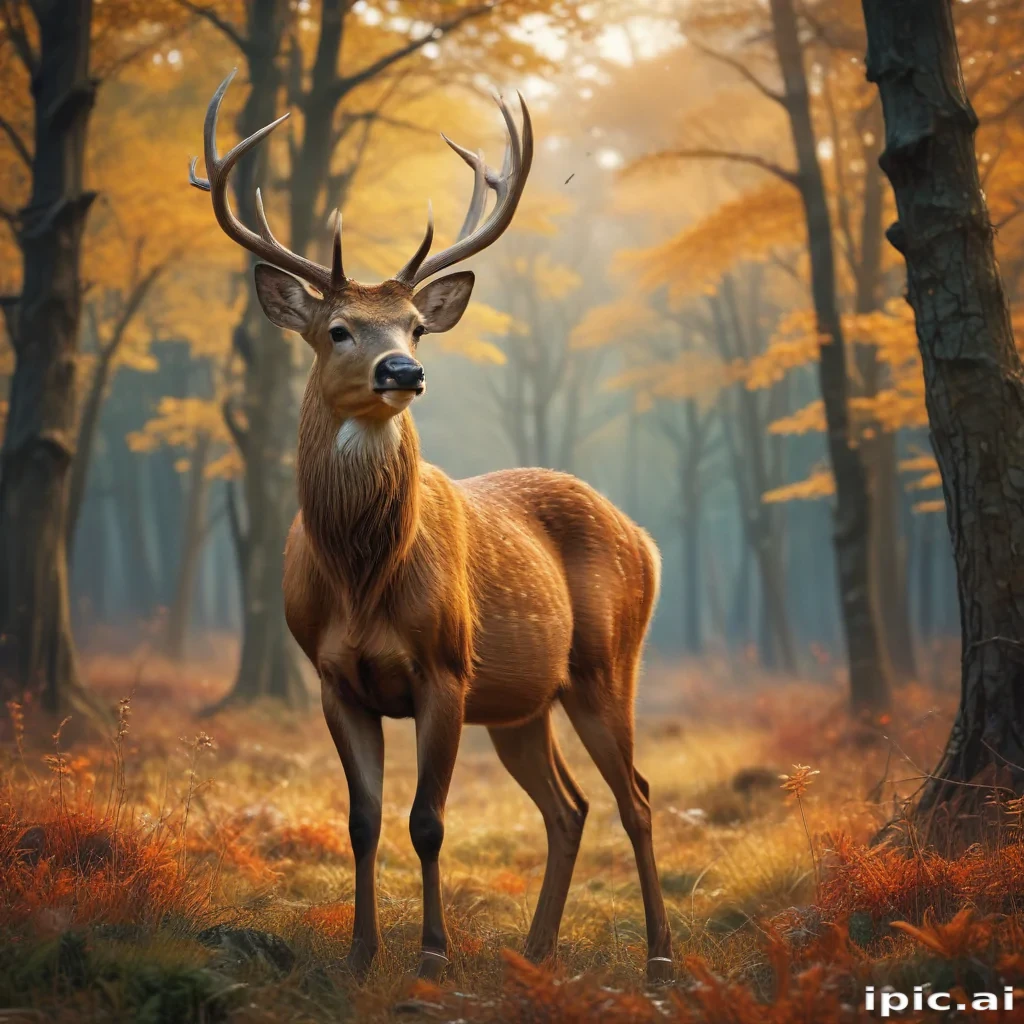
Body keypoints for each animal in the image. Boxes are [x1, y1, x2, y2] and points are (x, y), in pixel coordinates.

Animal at [189, 70, 674, 985]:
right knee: (569, 805)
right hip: (522, 700)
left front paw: (433, 957)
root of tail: (648, 540)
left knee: (635, 795)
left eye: (415, 324)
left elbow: (427, 820)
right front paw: (359, 954)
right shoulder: (333, 677)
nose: (404, 370)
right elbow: (363, 820)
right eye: (337, 329)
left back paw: (662, 960)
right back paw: (535, 951)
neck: (363, 580)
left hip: (604, 662)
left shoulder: (444, 667)